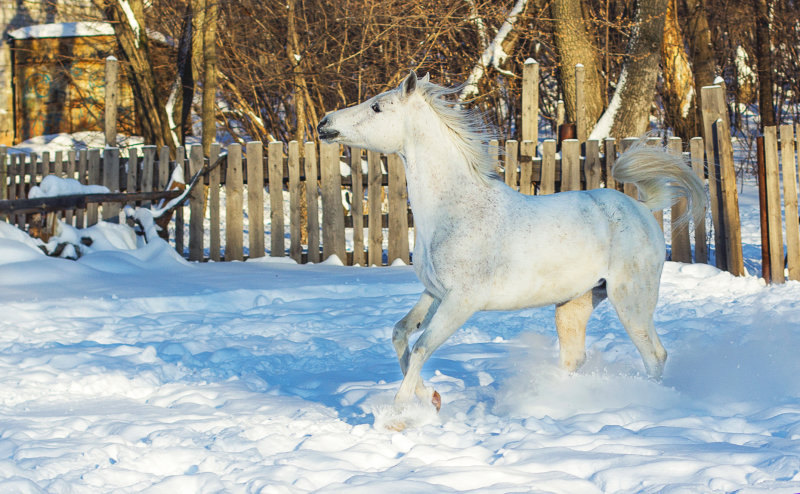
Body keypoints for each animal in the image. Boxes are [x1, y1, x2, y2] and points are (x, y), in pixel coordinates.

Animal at [316, 71, 704, 412]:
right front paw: (433, 399)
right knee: (574, 357)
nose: (324, 122)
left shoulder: (462, 301)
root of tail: (642, 207)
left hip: (632, 299)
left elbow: (422, 348)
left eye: (377, 107)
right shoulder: (434, 293)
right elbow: (401, 335)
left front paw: (398, 416)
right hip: (575, 304)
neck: (453, 209)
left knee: (654, 355)